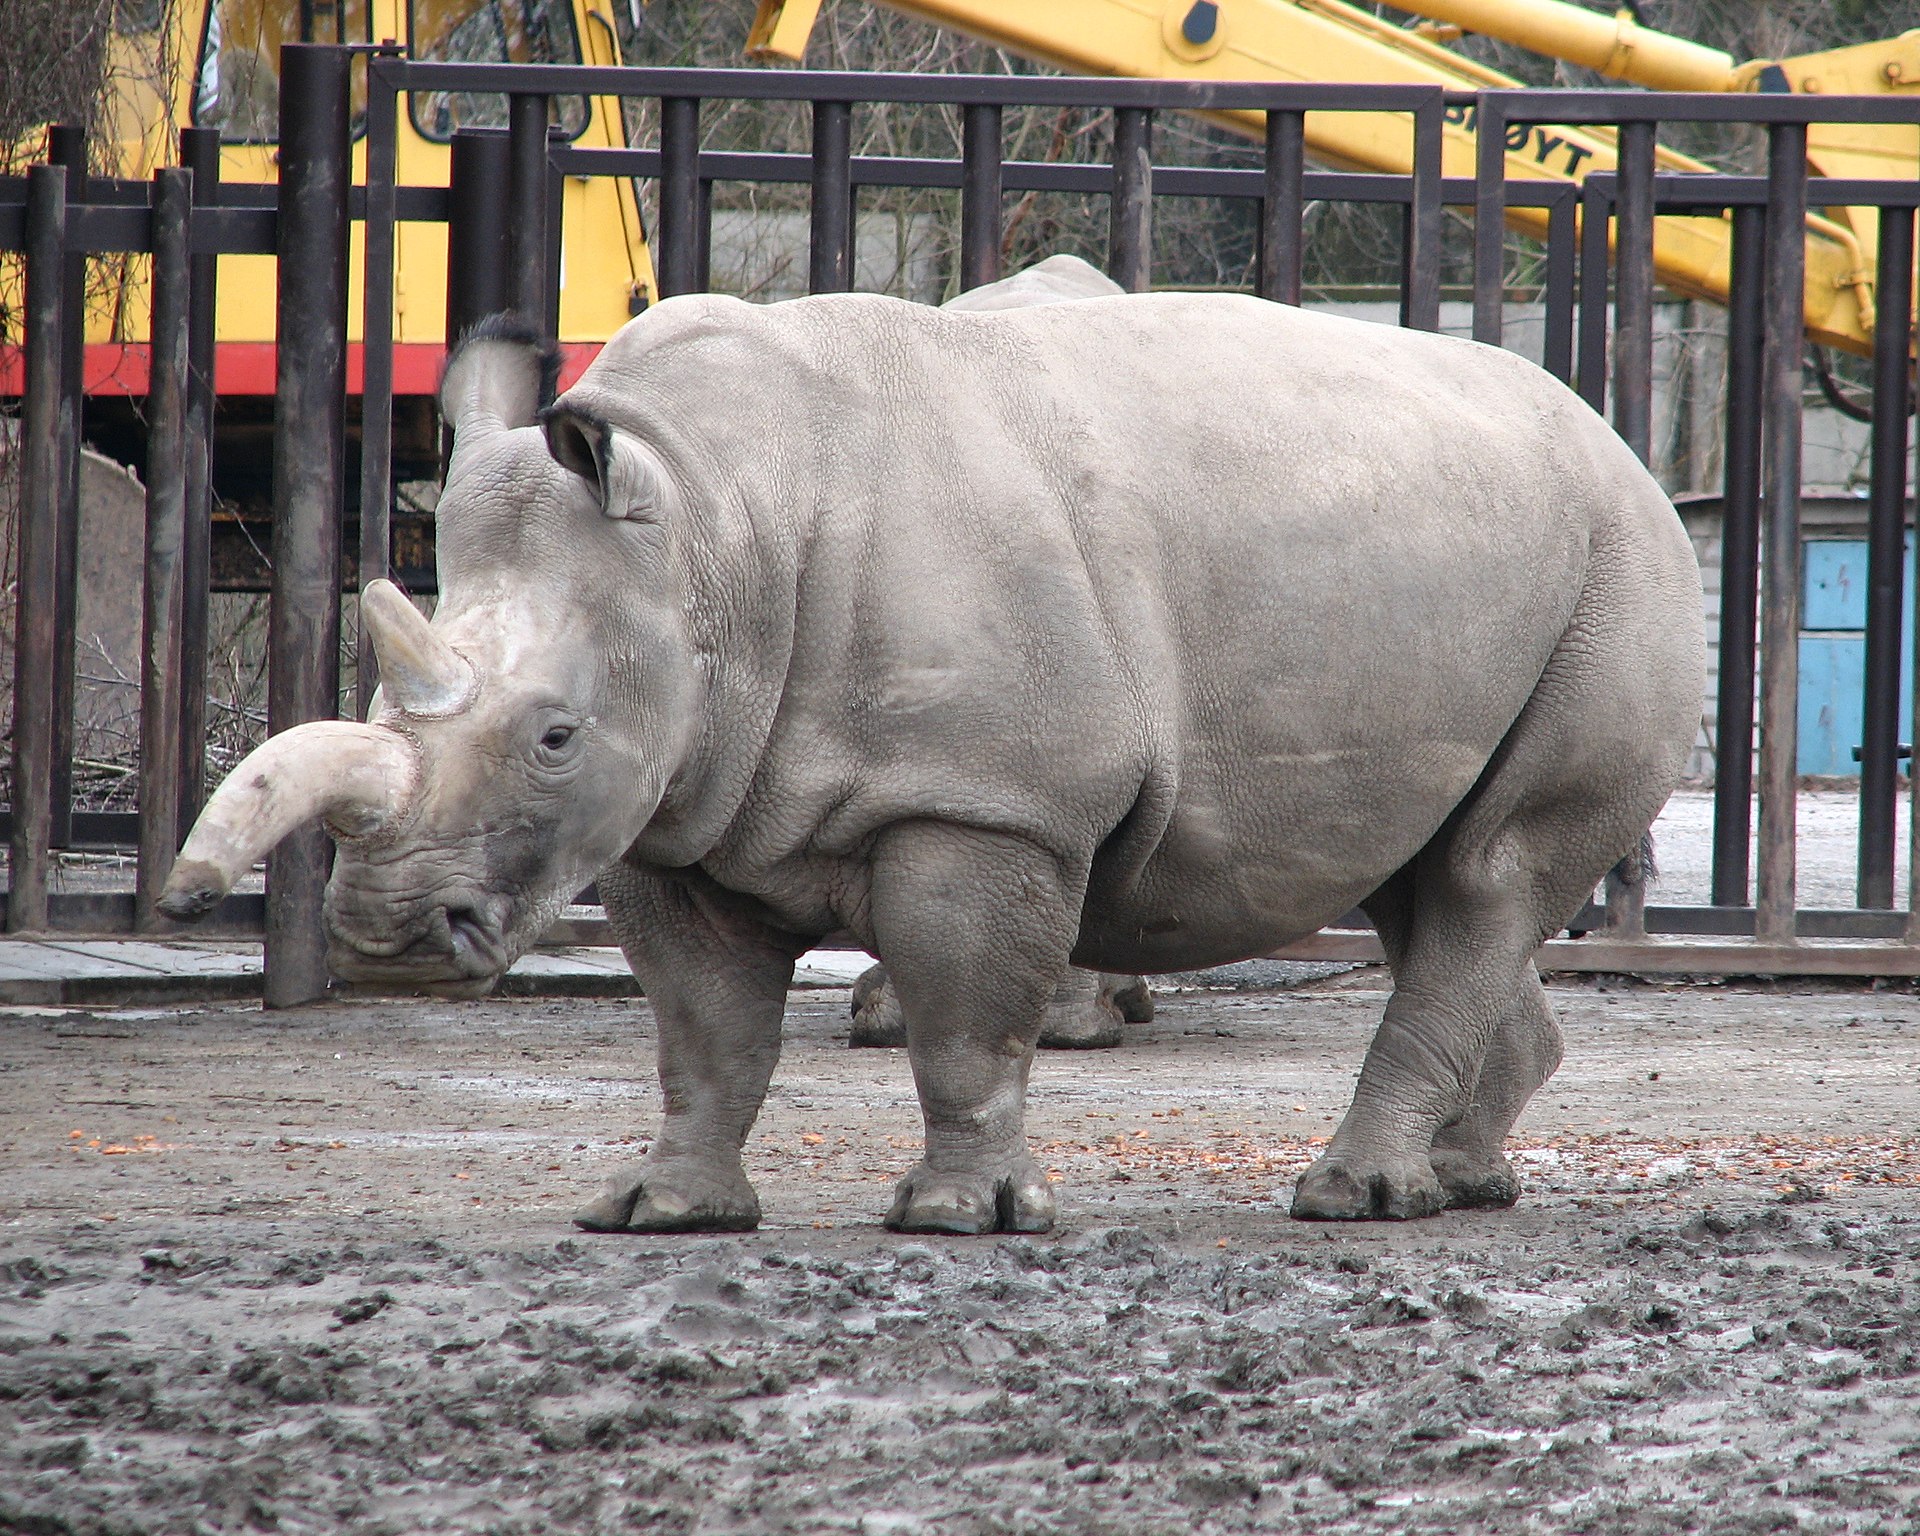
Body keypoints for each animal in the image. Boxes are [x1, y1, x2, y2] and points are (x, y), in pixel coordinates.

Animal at [160, 271, 1705, 1233]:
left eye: (551, 736)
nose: (387, 939)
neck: (714, 532)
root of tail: (1622, 439)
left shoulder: (989, 802)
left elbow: (967, 1011)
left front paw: (962, 1219)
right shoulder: (677, 810)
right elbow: (701, 1033)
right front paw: (666, 1214)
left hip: (1622, 564)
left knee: (1487, 877)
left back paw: (1356, 1202)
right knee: (1427, 880)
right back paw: (1462, 1183)